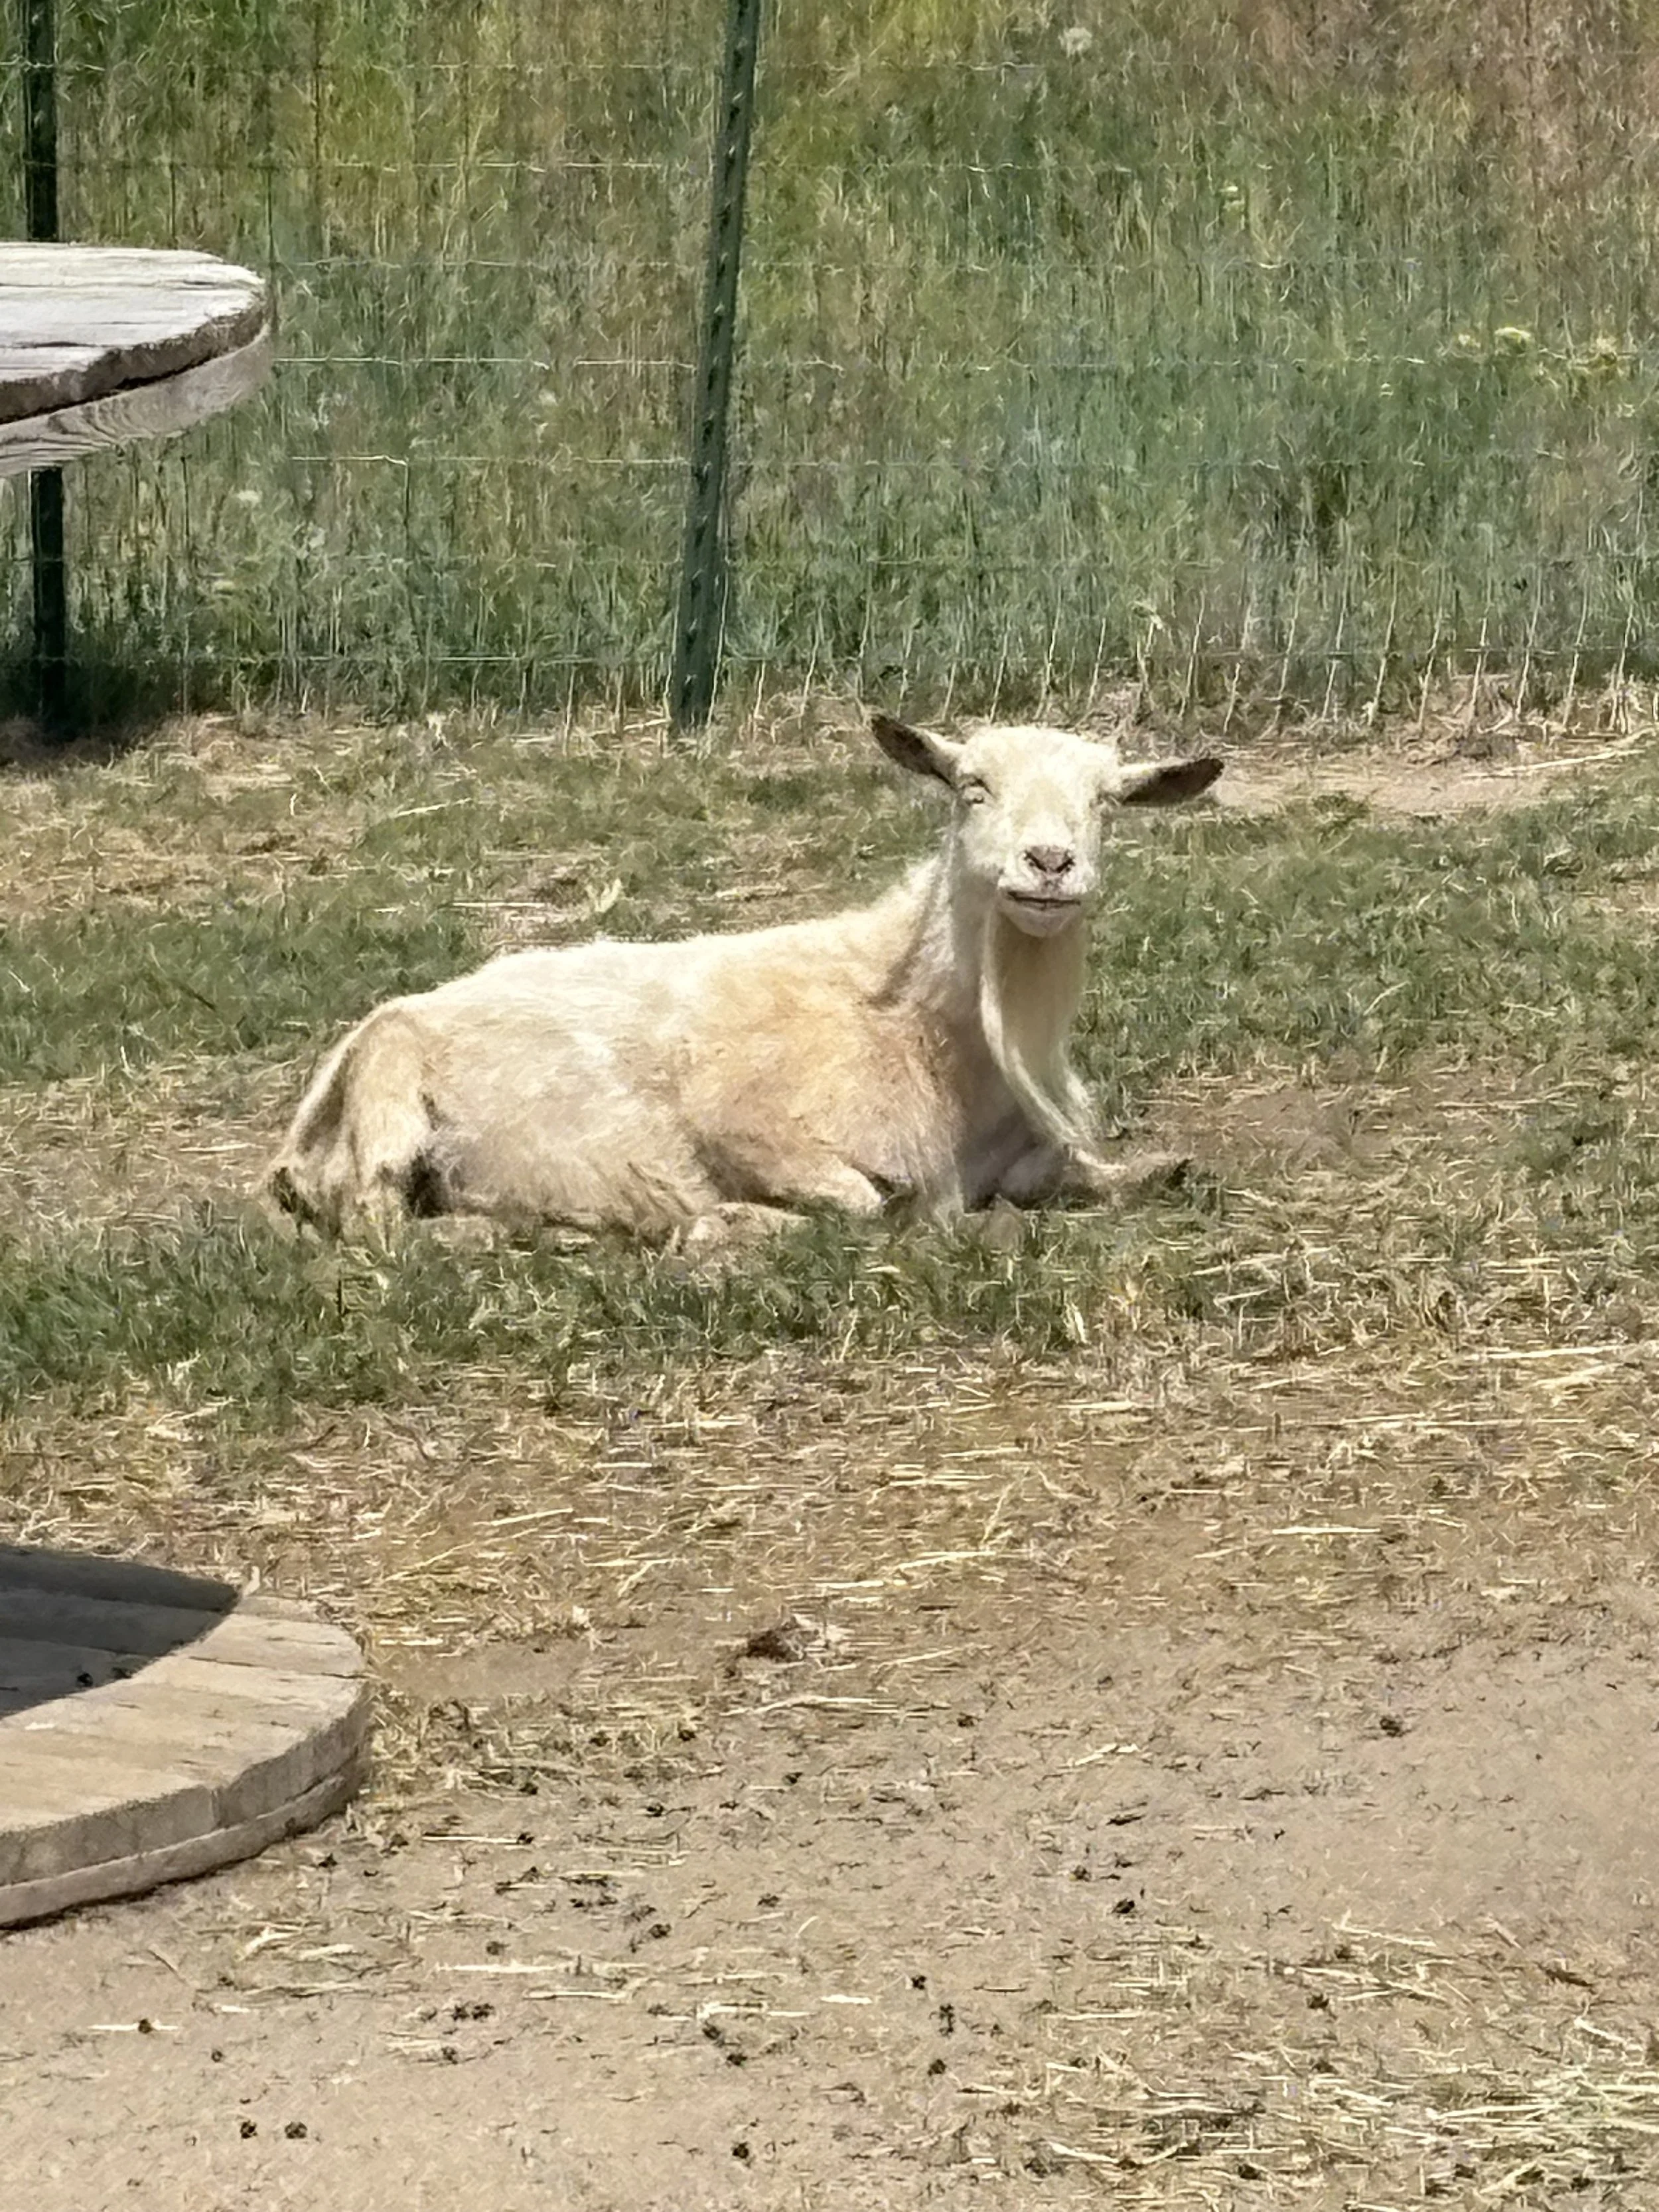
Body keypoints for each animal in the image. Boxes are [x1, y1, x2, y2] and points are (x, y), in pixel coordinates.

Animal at [265, 714, 1221, 1241]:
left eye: (1107, 802)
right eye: (971, 787)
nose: (1050, 863)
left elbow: (1069, 1171)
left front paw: (1157, 1169)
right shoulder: (741, 1122)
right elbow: (865, 1202)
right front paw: (722, 1223)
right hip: (389, 1094)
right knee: (376, 1221)